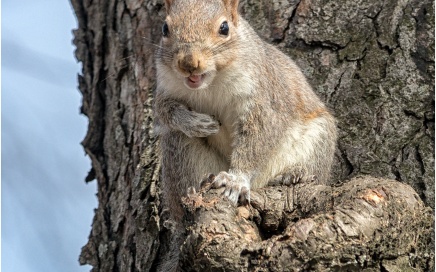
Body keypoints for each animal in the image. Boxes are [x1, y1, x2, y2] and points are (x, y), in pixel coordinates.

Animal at [153, 0, 338, 268]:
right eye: (165, 28)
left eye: (224, 28)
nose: (188, 63)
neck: (211, 82)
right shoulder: (165, 88)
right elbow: (164, 111)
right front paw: (195, 122)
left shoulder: (262, 98)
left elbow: (257, 136)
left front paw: (236, 180)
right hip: (178, 149)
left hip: (319, 136)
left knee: (314, 170)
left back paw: (295, 174)